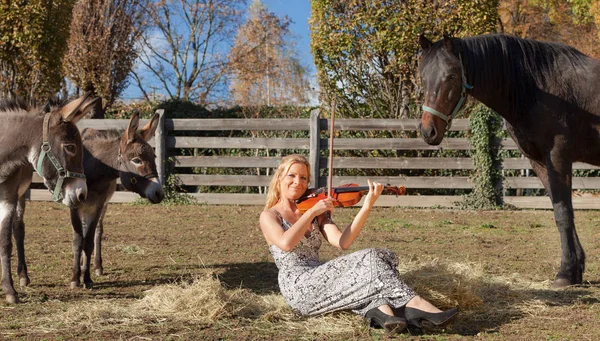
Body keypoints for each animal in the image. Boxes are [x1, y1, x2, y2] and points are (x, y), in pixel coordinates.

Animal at [0, 93, 96, 302]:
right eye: (70, 147)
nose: (82, 194)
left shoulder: (8, 197)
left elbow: (5, 242)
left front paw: (10, 290)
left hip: (20, 195)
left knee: (18, 229)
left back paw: (23, 276)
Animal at [68, 111, 164, 286]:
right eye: (137, 160)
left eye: (154, 157)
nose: (159, 193)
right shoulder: (74, 205)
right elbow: (78, 241)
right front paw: (75, 278)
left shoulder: (98, 205)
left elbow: (89, 241)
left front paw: (87, 278)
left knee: (98, 231)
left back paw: (97, 267)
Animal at [420, 32, 600, 286]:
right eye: (423, 77)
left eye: (451, 76)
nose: (428, 131)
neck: (537, 89)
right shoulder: (540, 163)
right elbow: (562, 212)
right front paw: (575, 270)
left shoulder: (558, 158)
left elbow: (564, 214)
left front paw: (565, 273)